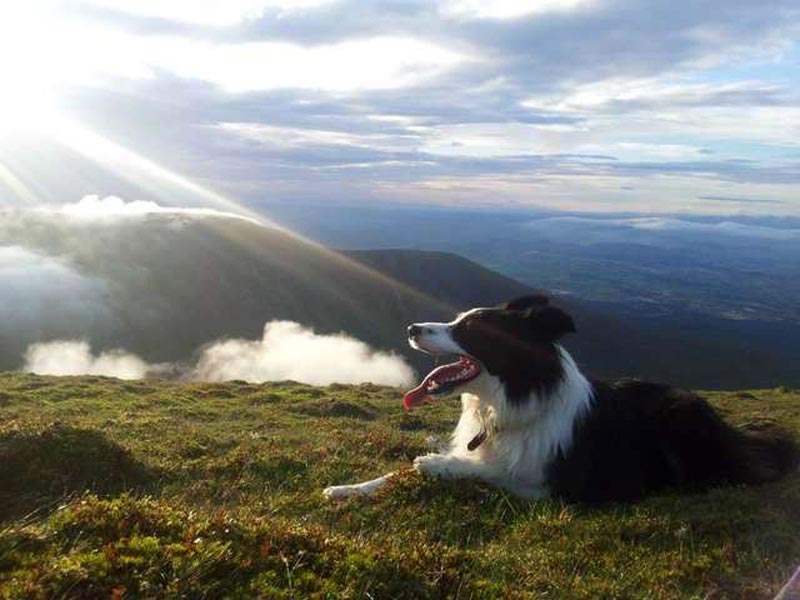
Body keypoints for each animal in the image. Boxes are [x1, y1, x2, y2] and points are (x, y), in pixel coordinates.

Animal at [322, 296, 796, 502]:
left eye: (469, 330)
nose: (412, 328)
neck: (510, 403)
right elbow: (395, 474)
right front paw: (346, 488)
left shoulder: (552, 486)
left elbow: (489, 472)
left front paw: (439, 464)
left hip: (681, 421)